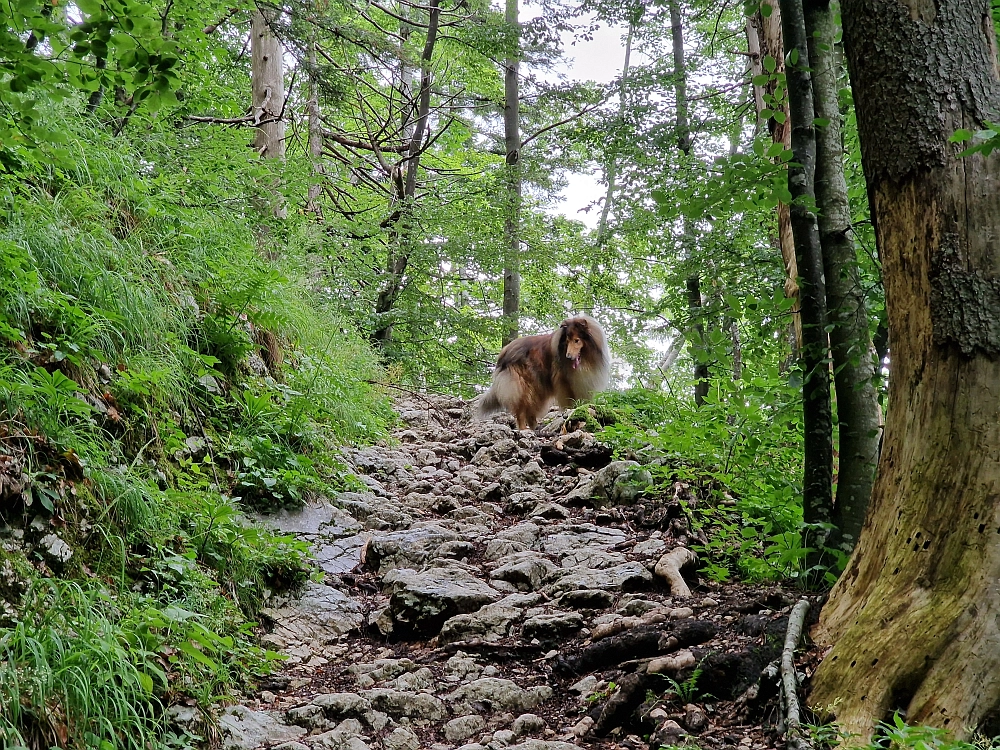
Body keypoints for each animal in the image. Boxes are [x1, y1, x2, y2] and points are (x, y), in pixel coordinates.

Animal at [476, 316, 608, 432]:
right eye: (567, 341)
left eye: (577, 340)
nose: (568, 357)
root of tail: (504, 352)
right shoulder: (565, 382)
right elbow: (569, 401)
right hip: (523, 386)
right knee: (521, 410)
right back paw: (524, 429)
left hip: (537, 387)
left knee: (530, 410)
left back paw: (535, 427)